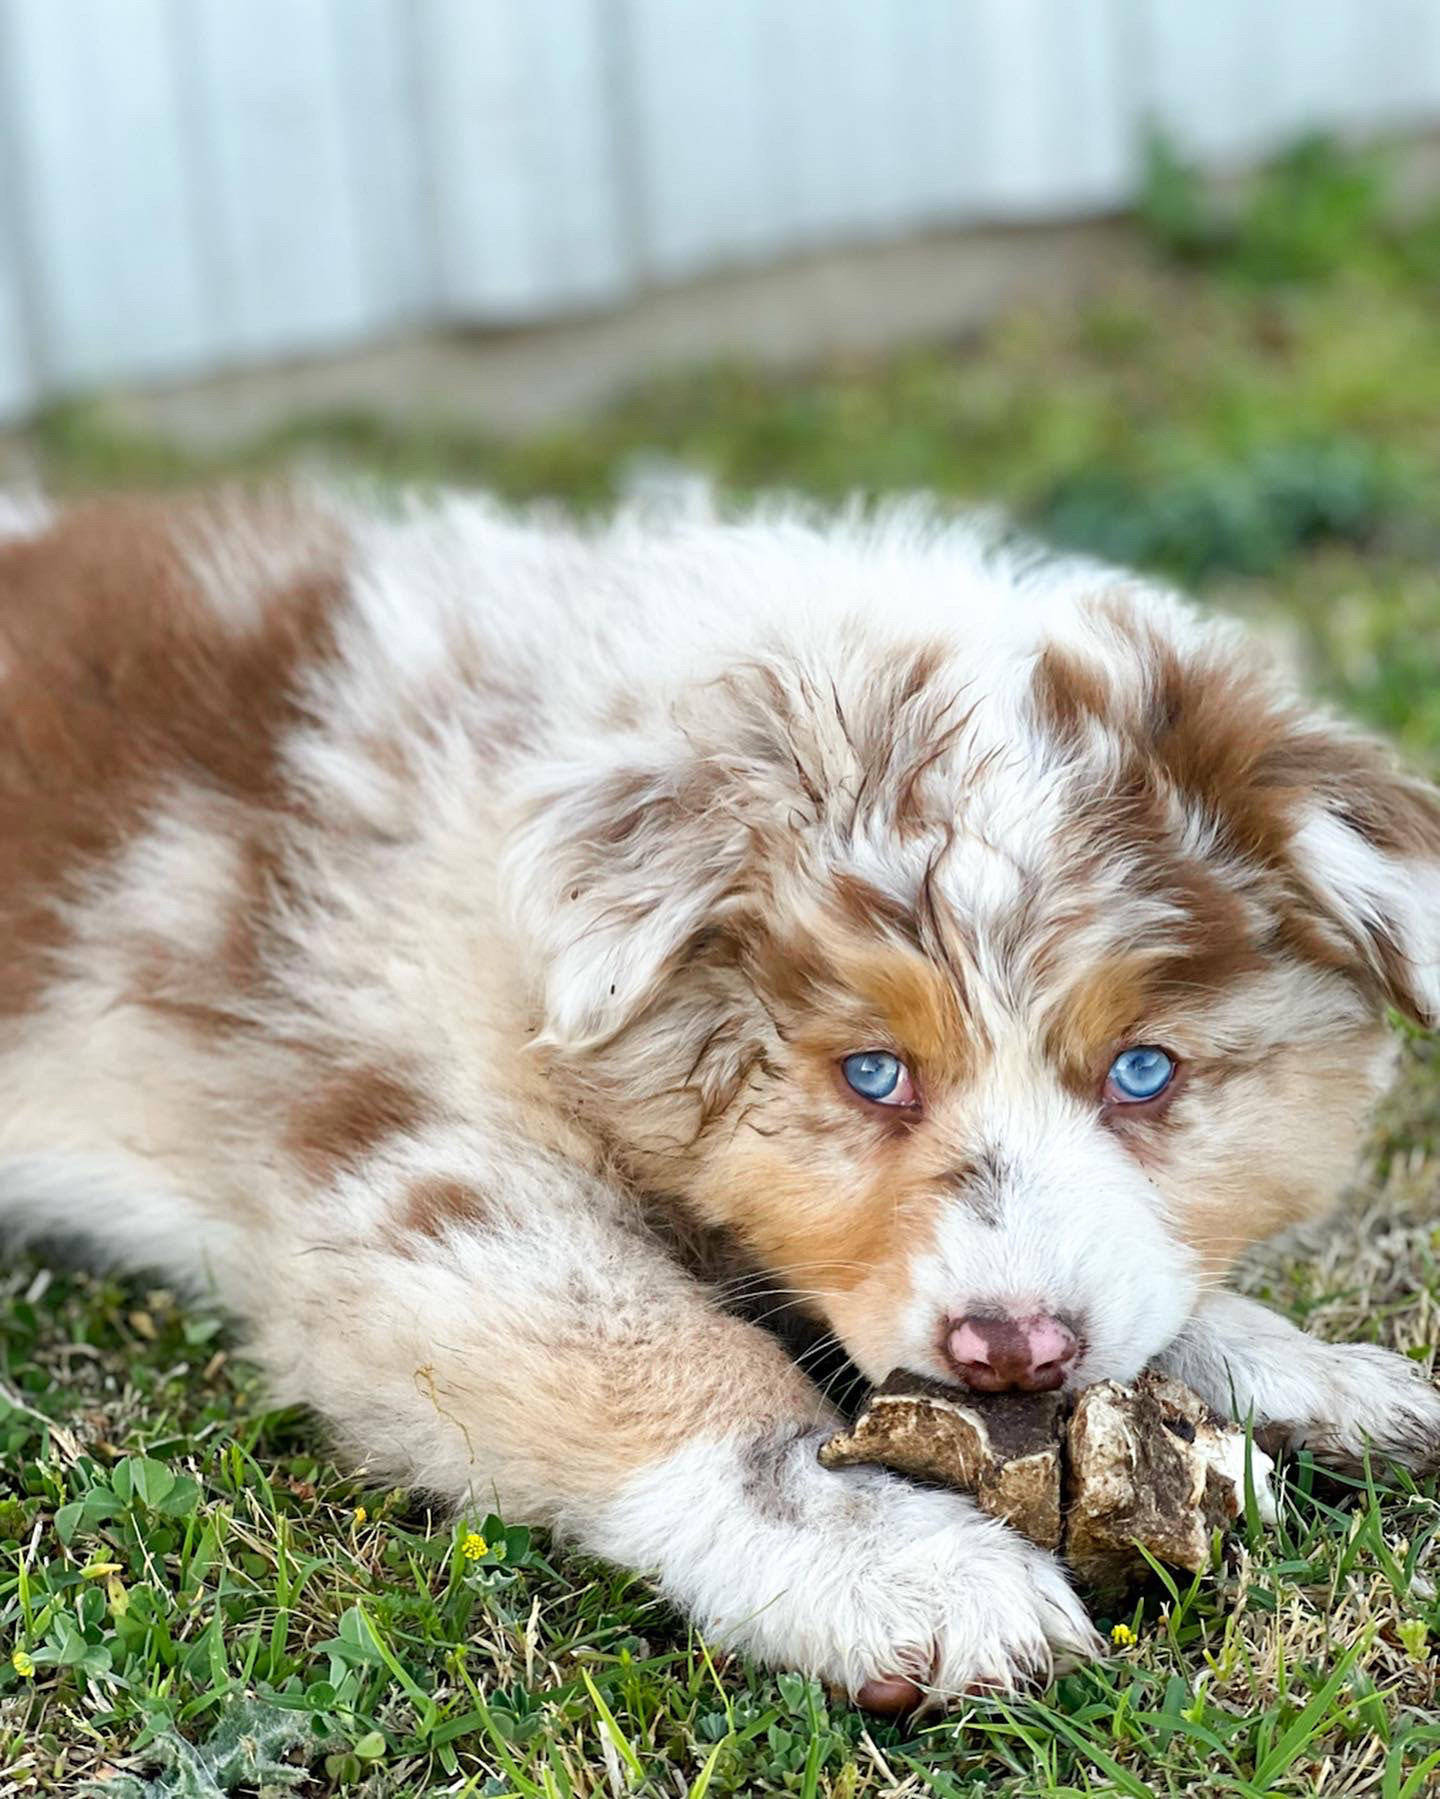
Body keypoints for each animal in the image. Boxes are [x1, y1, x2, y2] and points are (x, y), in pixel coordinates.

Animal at [2, 488, 1438, 1710]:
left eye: (1144, 1070)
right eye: (873, 1070)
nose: (1013, 1350)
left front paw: (1314, 1375)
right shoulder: (403, 1175)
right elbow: (663, 1355)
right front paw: (901, 1562)